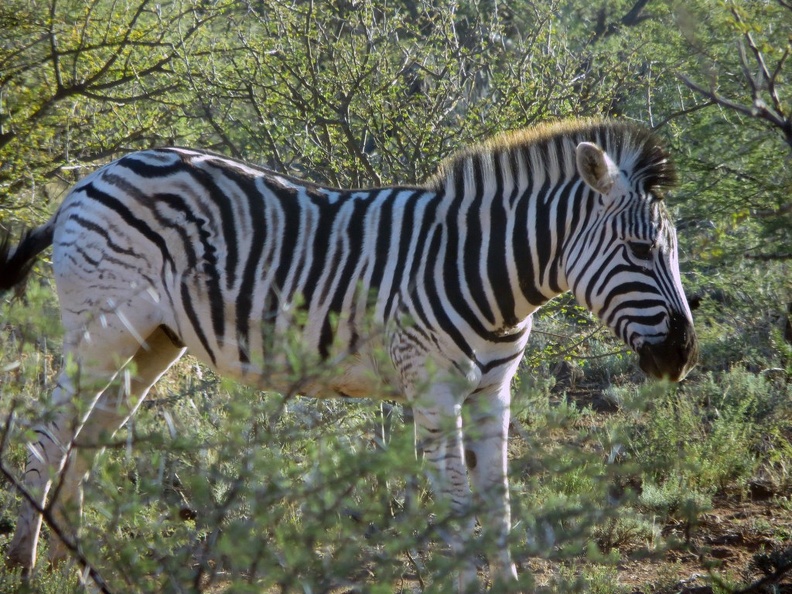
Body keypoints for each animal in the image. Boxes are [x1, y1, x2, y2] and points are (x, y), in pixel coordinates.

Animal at [0, 119, 692, 588]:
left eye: (673, 251)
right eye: (639, 251)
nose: (683, 357)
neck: (484, 274)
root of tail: (94, 176)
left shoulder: (494, 391)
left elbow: (496, 502)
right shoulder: (433, 392)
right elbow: (457, 505)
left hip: (154, 340)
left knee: (94, 429)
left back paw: (70, 557)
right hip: (100, 328)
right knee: (52, 430)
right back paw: (26, 559)